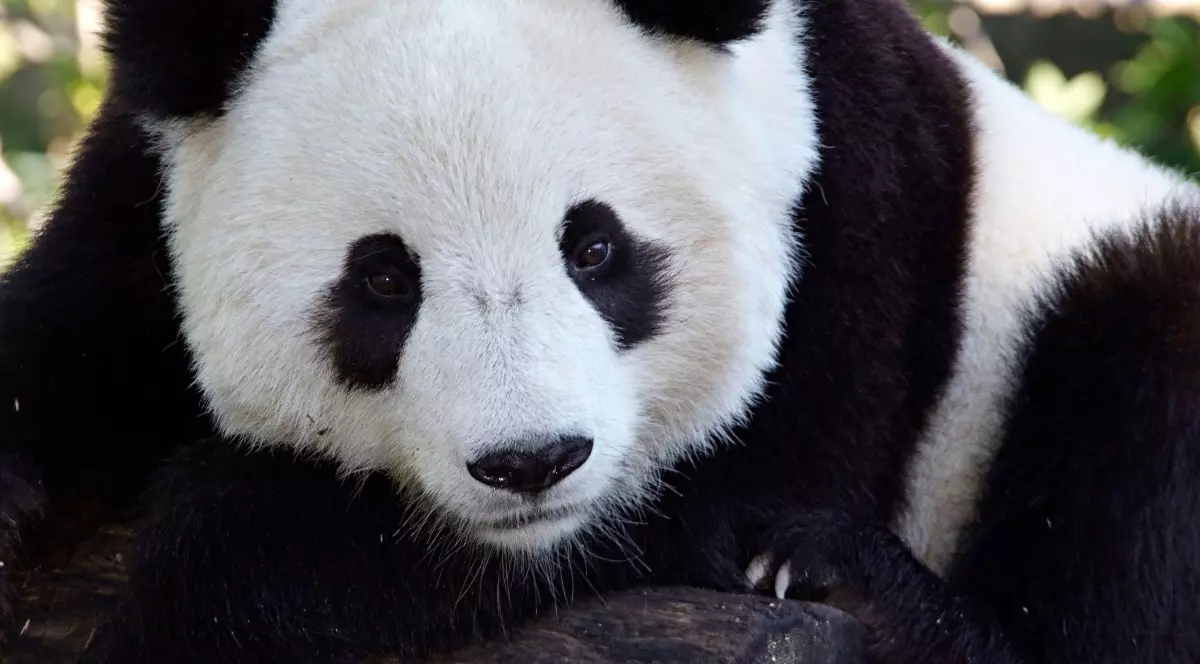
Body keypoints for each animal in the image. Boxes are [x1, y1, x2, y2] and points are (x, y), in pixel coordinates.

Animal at [0, 0, 1197, 662]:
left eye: (595, 248)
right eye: (382, 278)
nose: (532, 462)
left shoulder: (856, 217)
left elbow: (713, 510)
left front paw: (205, 557)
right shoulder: (143, 189)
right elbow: (71, 335)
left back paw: (847, 584)